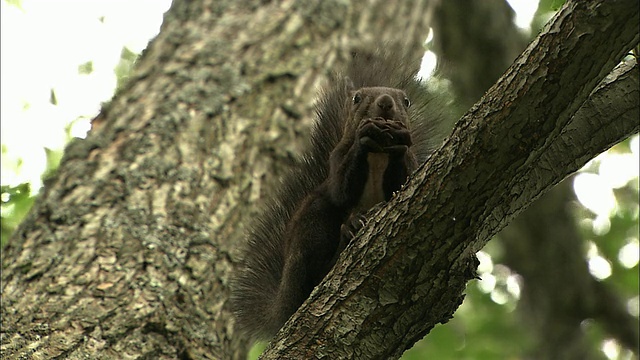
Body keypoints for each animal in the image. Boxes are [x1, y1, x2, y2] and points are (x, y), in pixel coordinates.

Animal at [231, 50, 444, 340]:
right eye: (357, 98)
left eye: (406, 101)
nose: (385, 102)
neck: (378, 153)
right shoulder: (337, 158)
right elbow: (341, 190)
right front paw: (363, 137)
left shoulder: (410, 166)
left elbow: (401, 184)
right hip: (313, 224)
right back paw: (348, 232)